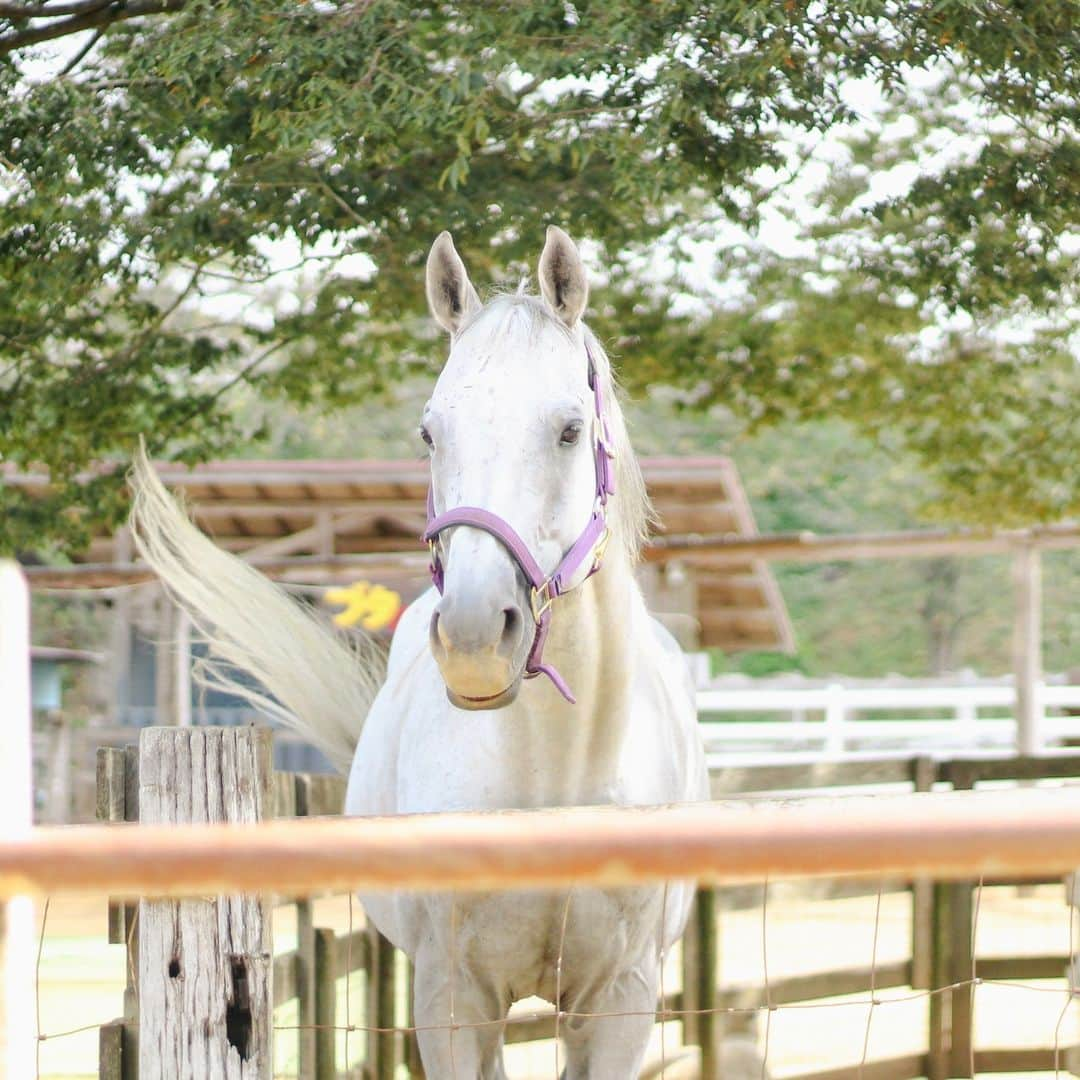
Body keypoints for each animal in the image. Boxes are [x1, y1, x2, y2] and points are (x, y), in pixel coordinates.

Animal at [130, 223, 708, 1075]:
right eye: (431, 431)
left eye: (571, 430)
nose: (473, 635)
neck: (556, 777)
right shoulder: (454, 1001)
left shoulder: (620, 1004)